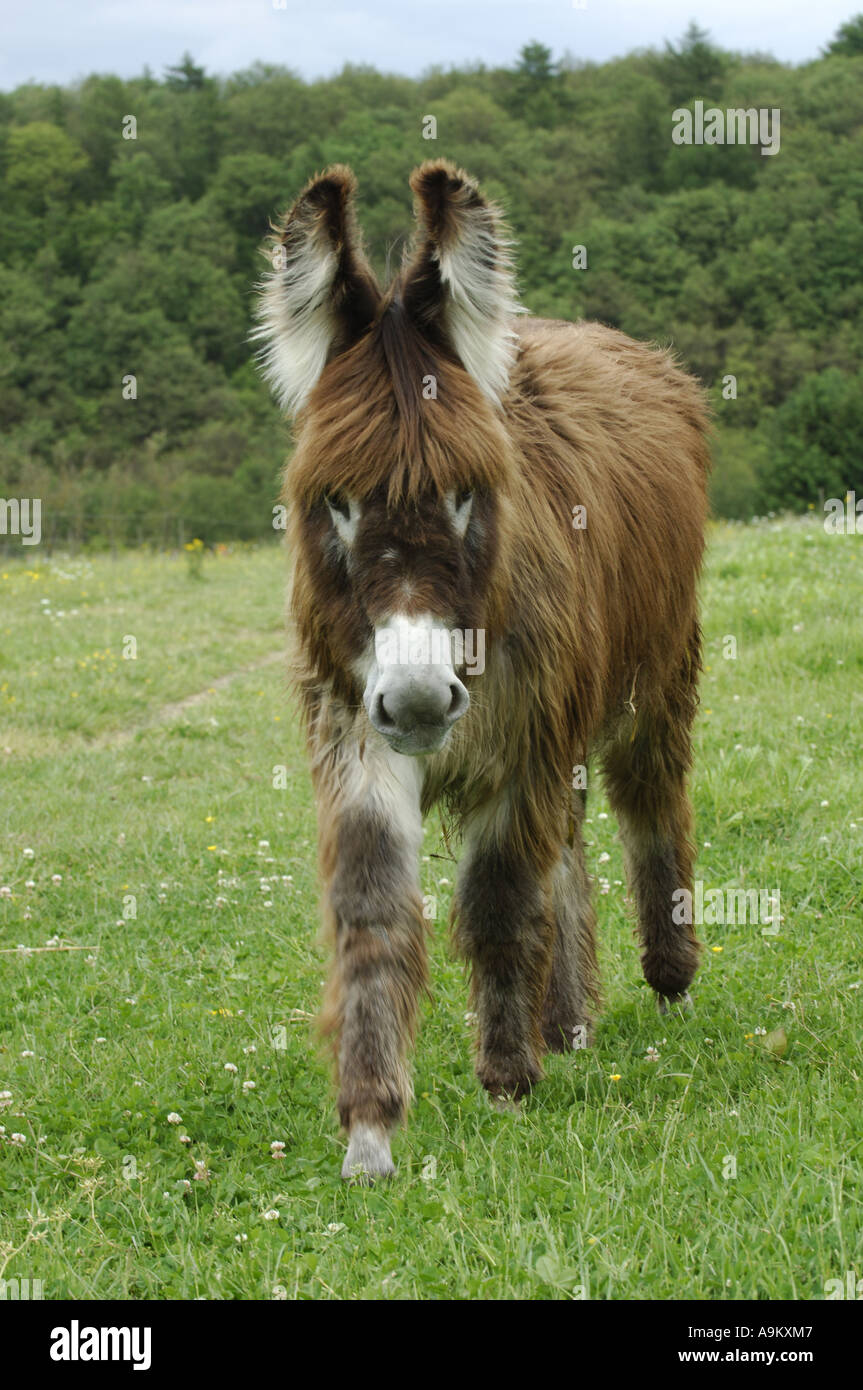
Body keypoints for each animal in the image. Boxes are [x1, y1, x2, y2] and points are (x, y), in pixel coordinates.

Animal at [253, 160, 710, 1180]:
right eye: (334, 502)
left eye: (469, 492)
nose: (422, 700)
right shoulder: (358, 735)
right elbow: (375, 912)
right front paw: (371, 1129)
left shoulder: (523, 744)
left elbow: (500, 902)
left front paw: (505, 1084)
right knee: (568, 844)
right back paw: (567, 1018)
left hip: (654, 680)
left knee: (648, 805)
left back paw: (667, 982)